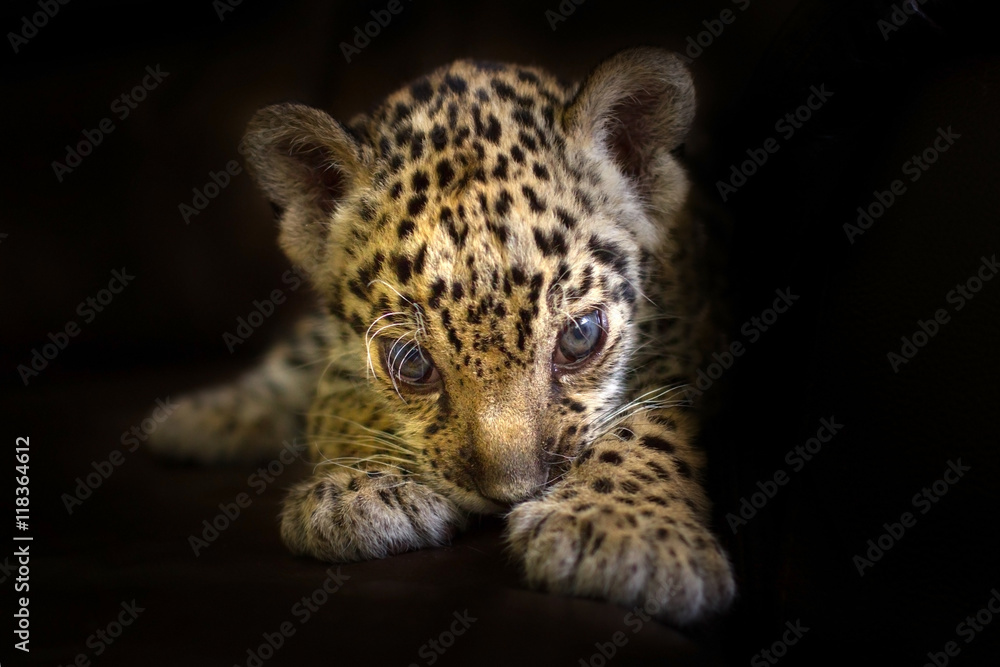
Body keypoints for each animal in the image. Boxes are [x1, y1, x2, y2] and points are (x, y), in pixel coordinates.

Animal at [151, 47, 736, 626]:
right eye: (411, 364)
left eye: (579, 338)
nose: (512, 495)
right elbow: (338, 404)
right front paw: (367, 487)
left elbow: (650, 421)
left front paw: (622, 534)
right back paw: (194, 421)